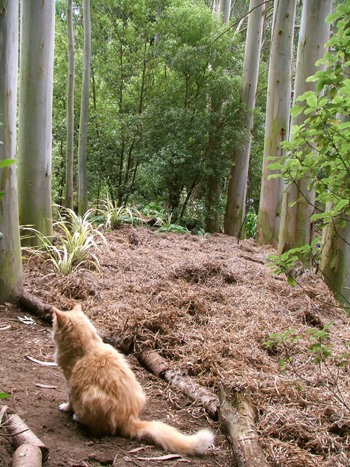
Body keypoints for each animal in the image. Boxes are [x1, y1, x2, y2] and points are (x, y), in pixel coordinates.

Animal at [53, 306, 215, 456]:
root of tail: (130, 420)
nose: (51, 332)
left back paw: (78, 417)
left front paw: (65, 408)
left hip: (88, 395)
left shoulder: (70, 382)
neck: (88, 347)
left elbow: (70, 401)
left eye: (54, 326)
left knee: (102, 429)